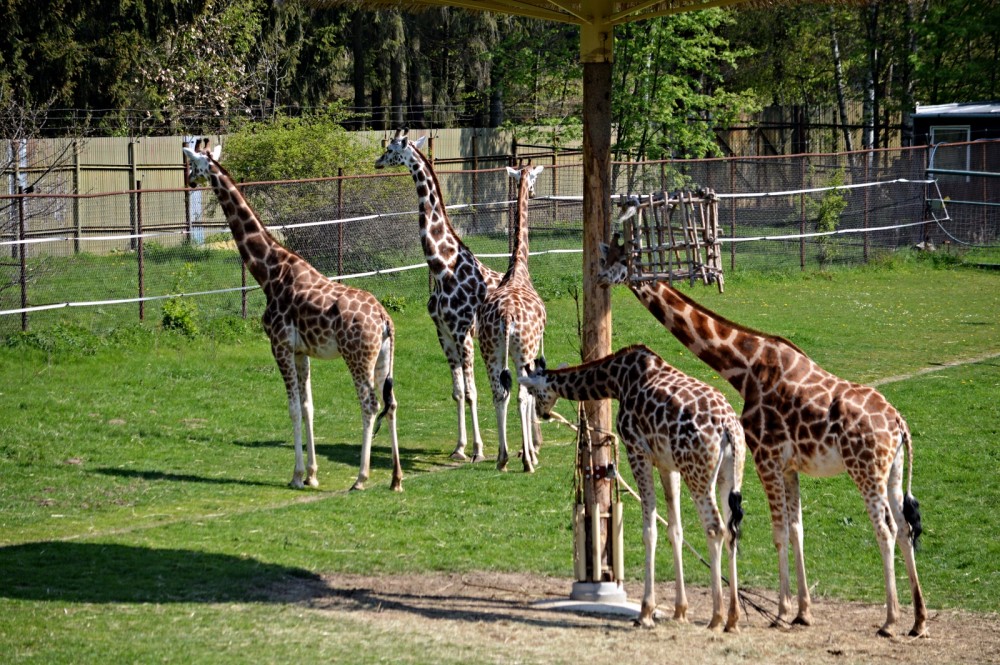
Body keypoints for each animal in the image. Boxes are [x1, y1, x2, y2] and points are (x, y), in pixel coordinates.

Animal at [182, 139, 403, 492]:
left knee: (370, 404)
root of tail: (385, 320)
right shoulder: (302, 351)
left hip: (357, 356)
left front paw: (298, 476)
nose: (189, 182)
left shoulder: (280, 345)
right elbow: (309, 406)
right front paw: (312, 473)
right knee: (391, 402)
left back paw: (361, 478)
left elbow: (293, 408)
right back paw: (396, 478)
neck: (270, 273)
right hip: (383, 357)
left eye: (193, 163)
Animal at [375, 128, 503, 464]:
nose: (377, 161)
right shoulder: (442, 333)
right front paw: (459, 448)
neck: (443, 267)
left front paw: (478, 450)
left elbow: (472, 392)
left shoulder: (462, 334)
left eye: (391, 149)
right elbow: (458, 392)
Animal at [519, 345, 746, 631]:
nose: (543, 413)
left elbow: (649, 531)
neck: (618, 379)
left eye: (534, 392)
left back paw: (716, 617)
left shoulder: (637, 451)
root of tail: (729, 428)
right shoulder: (667, 464)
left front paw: (646, 612)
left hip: (698, 473)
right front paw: (680, 611)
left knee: (715, 528)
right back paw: (733, 618)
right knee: (731, 530)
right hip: (730, 474)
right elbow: (675, 530)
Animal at [599, 234, 928, 637]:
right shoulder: (789, 465)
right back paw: (918, 620)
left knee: (885, 529)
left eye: (619, 261)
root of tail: (900, 425)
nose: (598, 278)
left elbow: (778, 532)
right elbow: (797, 529)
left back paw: (890, 620)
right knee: (904, 527)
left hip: (865, 470)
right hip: (892, 472)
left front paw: (782, 612)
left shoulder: (764, 456)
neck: (746, 367)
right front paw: (802, 611)